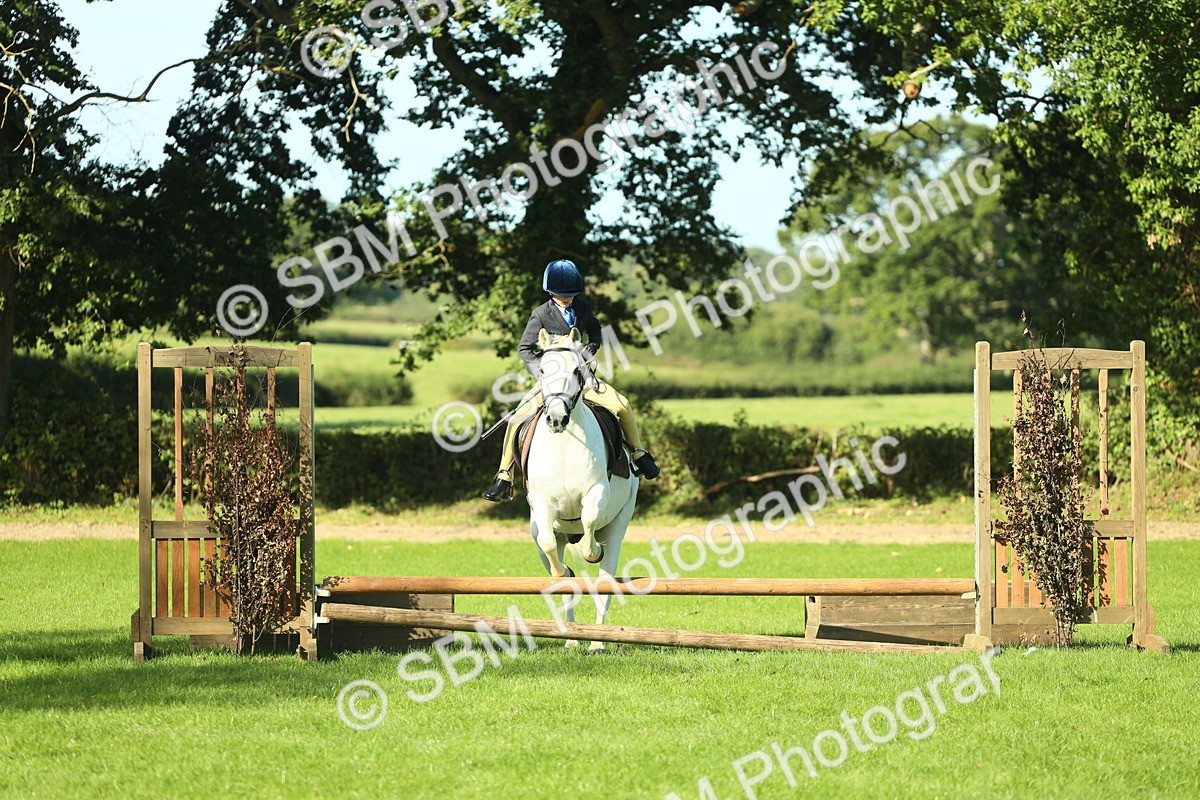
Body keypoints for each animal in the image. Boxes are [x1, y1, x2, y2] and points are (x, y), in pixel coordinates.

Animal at [525, 328, 639, 650]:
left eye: (577, 370)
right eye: (542, 371)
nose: (556, 419)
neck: (564, 442)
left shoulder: (595, 491)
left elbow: (588, 522)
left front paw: (593, 551)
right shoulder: (542, 504)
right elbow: (551, 548)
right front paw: (564, 572)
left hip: (620, 524)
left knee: (605, 581)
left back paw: (597, 642)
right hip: (543, 532)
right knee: (558, 569)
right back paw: (571, 638)